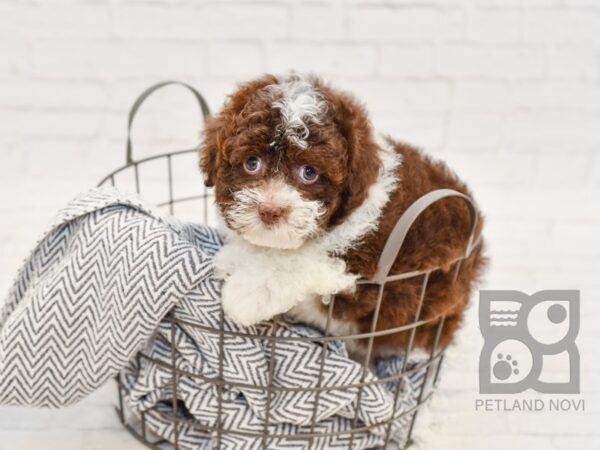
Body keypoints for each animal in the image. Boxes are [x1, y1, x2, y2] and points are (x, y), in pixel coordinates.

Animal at [199, 75, 486, 360]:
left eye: (309, 172)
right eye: (252, 163)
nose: (270, 210)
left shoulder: (367, 278)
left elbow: (301, 262)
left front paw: (247, 293)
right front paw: (234, 257)